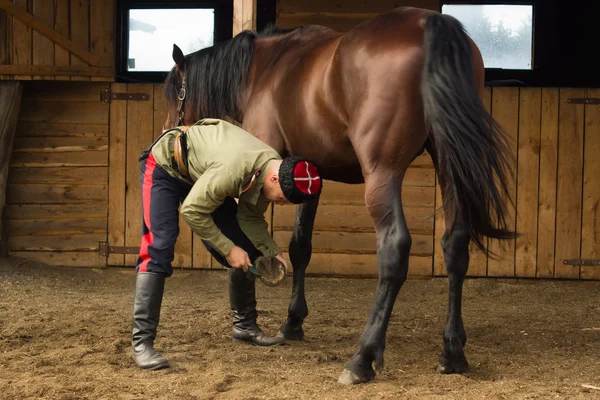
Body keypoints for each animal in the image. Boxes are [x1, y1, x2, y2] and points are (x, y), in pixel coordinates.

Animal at [162, 6, 512, 386]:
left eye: (174, 95)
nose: (167, 133)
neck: (266, 68)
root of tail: (430, 22)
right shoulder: (305, 173)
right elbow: (300, 247)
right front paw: (293, 322)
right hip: (450, 166)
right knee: (455, 246)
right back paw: (452, 352)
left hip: (383, 172)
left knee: (394, 250)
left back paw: (363, 358)